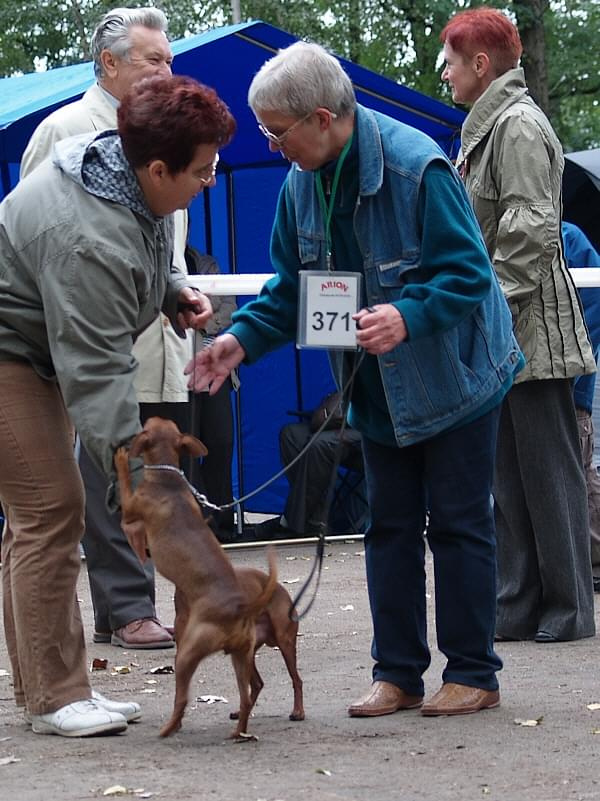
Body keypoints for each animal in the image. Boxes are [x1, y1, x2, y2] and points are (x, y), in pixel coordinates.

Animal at [116, 416, 288, 740]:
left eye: (149, 423)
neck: (168, 479)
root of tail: (241, 607)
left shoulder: (130, 511)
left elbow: (123, 488)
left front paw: (120, 459)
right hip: (242, 655)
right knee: (246, 696)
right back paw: (238, 733)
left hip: (187, 654)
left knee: (182, 698)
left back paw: (169, 729)